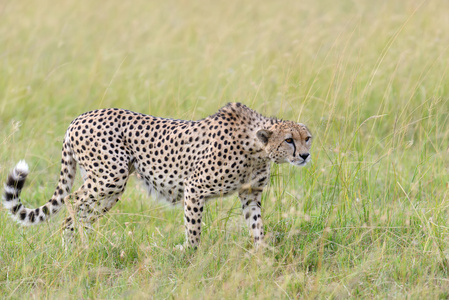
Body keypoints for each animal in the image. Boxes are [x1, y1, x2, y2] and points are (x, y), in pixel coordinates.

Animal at [2, 103, 312, 248]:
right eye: (289, 140)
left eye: (307, 138)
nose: (305, 155)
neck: (256, 147)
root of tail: (79, 118)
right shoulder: (194, 188)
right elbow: (193, 229)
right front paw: (189, 254)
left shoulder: (250, 195)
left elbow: (257, 228)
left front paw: (263, 256)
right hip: (109, 176)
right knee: (72, 202)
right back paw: (78, 246)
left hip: (110, 189)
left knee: (81, 214)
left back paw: (82, 248)